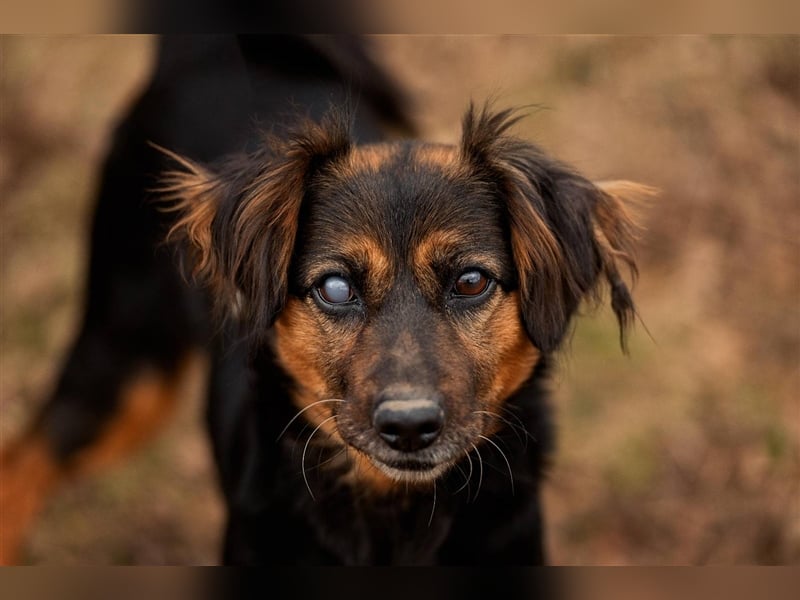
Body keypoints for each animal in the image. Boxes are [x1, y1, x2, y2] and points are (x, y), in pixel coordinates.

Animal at [0, 35, 648, 564]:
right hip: (122, 360)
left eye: (471, 281)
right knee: (23, 461)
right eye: (335, 288)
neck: (392, 513)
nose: (409, 427)